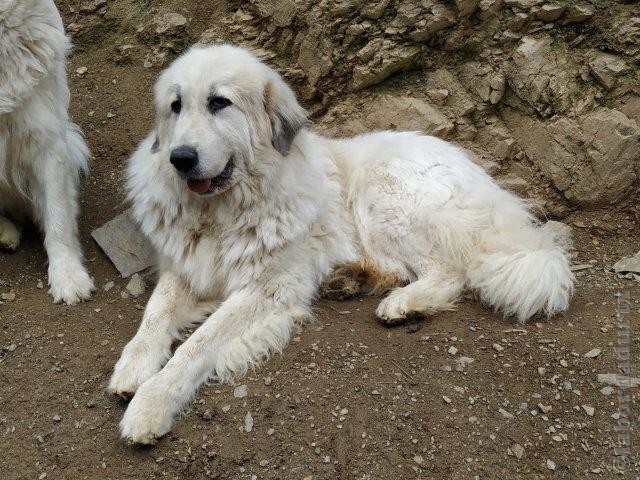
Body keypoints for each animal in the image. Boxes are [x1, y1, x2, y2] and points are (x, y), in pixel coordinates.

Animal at [110, 44, 576, 442]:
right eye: (175, 106)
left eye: (219, 103)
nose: (180, 158)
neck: (222, 213)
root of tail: (488, 183)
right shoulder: (184, 267)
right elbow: (155, 314)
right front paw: (132, 365)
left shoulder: (268, 287)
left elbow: (199, 343)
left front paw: (152, 402)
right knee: (400, 268)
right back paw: (351, 279)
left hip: (381, 193)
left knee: (448, 271)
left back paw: (402, 303)